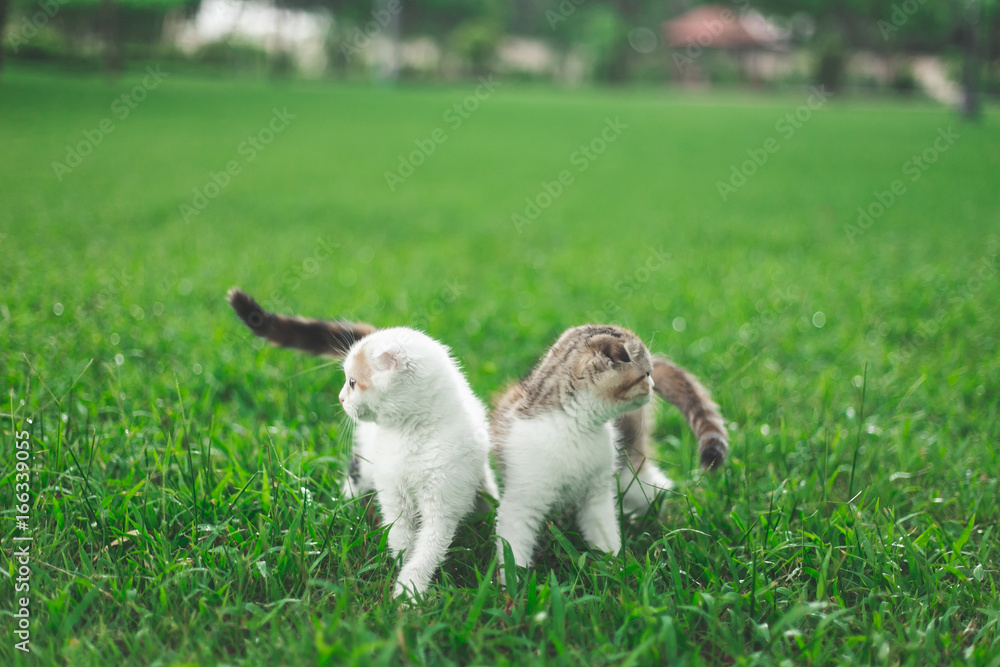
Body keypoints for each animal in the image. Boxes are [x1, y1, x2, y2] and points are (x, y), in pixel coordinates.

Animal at [338, 328, 498, 600]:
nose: (340, 399)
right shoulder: (393, 493)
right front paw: (401, 566)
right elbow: (401, 535)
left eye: (352, 382)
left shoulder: (443, 502)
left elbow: (428, 548)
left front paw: (409, 591)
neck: (410, 433)